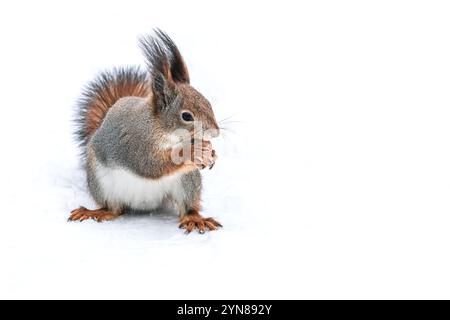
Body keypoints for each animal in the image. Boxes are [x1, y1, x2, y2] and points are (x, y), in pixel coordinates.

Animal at [69, 29, 223, 232]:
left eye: (208, 103)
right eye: (187, 116)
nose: (216, 132)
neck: (162, 129)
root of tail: (145, 204)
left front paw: (210, 152)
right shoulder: (136, 142)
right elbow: (150, 165)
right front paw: (194, 153)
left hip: (187, 180)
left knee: (188, 207)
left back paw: (194, 218)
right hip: (101, 183)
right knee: (114, 209)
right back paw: (97, 212)